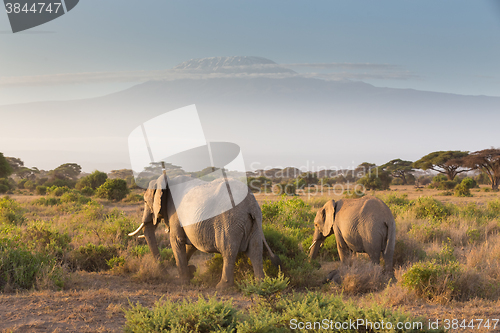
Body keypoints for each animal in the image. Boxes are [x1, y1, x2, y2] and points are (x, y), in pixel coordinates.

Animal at [129, 172, 282, 290]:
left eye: (145, 201)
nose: (165, 273)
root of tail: (251, 203)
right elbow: (190, 245)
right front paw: (190, 272)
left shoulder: (175, 213)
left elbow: (176, 240)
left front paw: (182, 281)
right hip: (255, 223)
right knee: (256, 250)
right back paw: (261, 285)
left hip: (230, 221)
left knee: (228, 250)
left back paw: (222, 288)